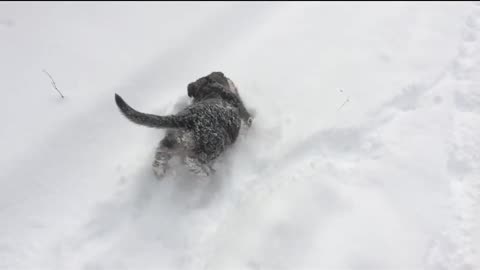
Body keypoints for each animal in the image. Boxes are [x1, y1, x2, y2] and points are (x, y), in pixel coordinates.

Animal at [114, 71, 253, 178]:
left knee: (161, 151)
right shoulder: (241, 108)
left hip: (171, 140)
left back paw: (158, 169)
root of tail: (186, 119)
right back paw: (203, 171)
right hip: (214, 145)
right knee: (194, 160)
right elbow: (248, 119)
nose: (229, 79)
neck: (210, 90)